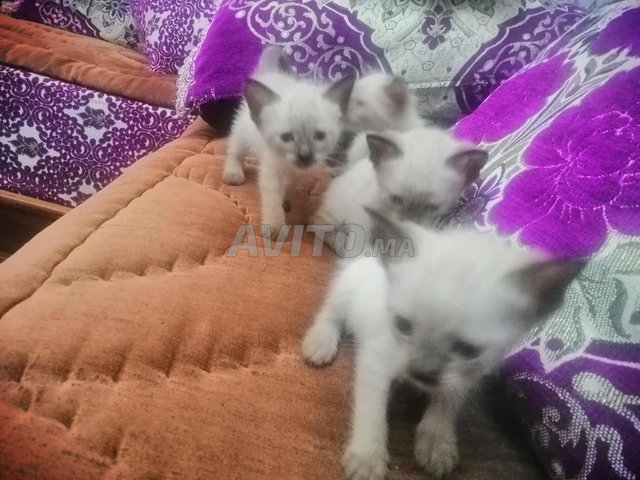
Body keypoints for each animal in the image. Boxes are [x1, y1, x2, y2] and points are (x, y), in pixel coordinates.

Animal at [222, 47, 355, 234]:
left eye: (319, 136)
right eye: (286, 137)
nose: (304, 156)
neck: (289, 165)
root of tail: (271, 73)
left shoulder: (298, 174)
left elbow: (289, 187)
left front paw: (285, 201)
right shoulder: (271, 168)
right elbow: (272, 197)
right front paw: (275, 227)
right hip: (243, 131)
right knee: (235, 149)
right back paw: (233, 173)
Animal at [302, 208, 584, 480]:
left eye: (468, 350)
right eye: (403, 325)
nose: (420, 373)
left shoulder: (470, 372)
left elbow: (448, 397)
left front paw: (437, 443)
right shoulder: (377, 358)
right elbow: (371, 410)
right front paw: (367, 459)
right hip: (347, 289)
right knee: (331, 312)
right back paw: (319, 342)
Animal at [312, 128, 487, 253]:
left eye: (432, 207)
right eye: (395, 199)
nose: (407, 223)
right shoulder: (362, 215)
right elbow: (360, 245)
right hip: (335, 213)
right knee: (318, 225)